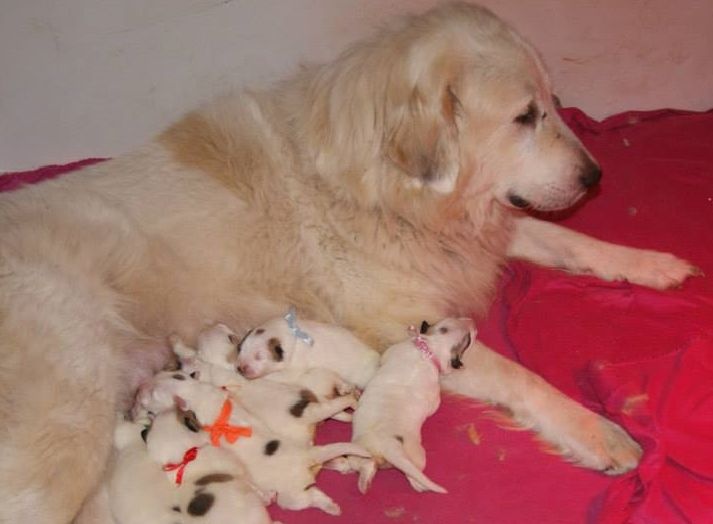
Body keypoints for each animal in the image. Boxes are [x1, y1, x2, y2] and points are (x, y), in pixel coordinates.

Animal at [235, 308, 382, 388]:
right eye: (240, 349)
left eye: (259, 356)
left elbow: (275, 376)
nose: (241, 368)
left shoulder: (293, 370)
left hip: (363, 375)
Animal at [348, 318, 476, 494]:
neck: (430, 348)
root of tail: (388, 446)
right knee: (414, 476)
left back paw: (364, 481)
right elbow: (435, 404)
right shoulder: (434, 394)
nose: (471, 322)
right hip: (417, 456)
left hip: (359, 450)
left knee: (363, 464)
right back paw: (419, 485)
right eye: (469, 340)